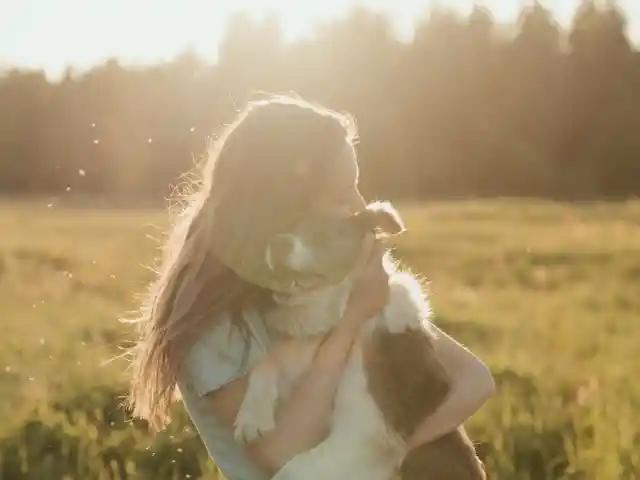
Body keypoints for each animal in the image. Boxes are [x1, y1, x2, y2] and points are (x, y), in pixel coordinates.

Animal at [232, 202, 482, 480]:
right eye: (282, 224)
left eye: (323, 232)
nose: (277, 244)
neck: (339, 311)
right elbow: (265, 363)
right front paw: (252, 415)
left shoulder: (368, 432)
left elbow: (292, 469)